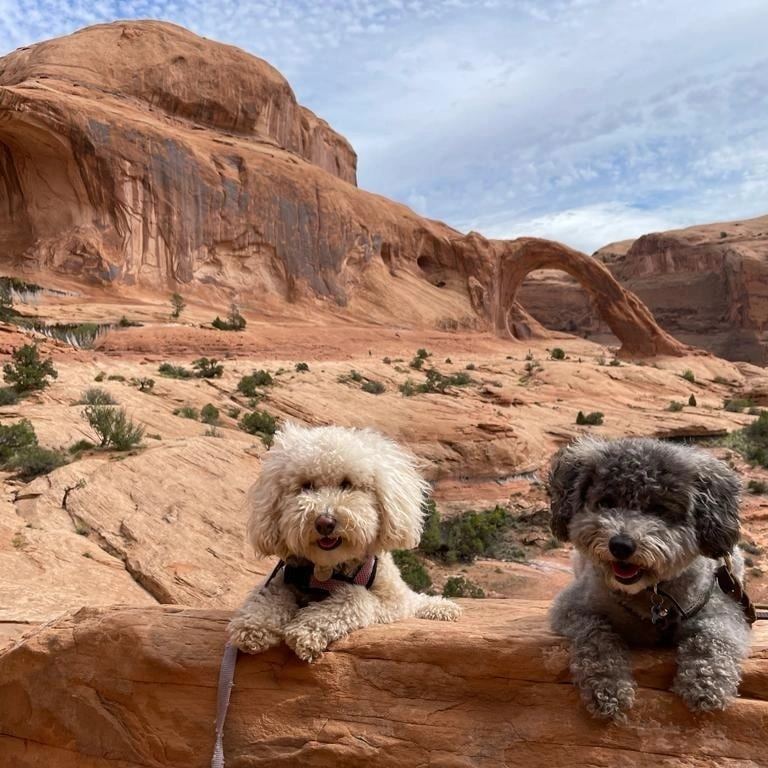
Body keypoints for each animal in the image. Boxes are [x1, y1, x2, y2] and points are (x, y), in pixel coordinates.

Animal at [225, 420, 460, 660]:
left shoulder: (389, 604)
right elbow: (267, 595)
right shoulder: (285, 574)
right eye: (306, 485)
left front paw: (307, 629)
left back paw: (443, 608)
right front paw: (254, 625)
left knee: (415, 600)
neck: (326, 570)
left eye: (347, 484)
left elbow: (355, 597)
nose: (324, 522)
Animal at [548, 438, 752, 720]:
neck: (653, 594)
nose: (621, 545)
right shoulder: (574, 607)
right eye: (606, 503)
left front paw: (705, 684)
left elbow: (714, 639)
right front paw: (608, 688)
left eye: (659, 509)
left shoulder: (722, 609)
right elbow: (596, 638)